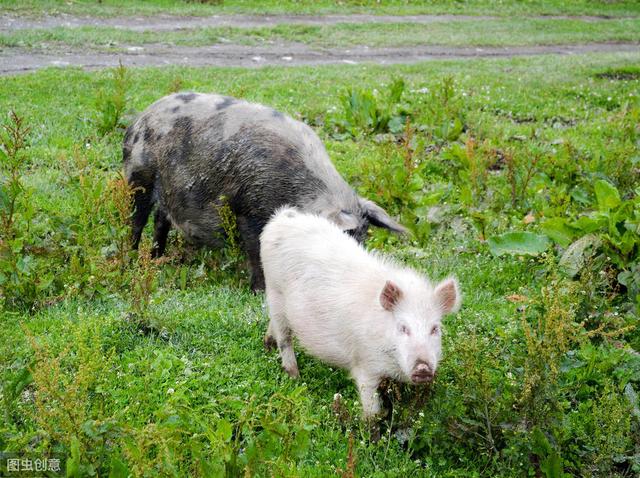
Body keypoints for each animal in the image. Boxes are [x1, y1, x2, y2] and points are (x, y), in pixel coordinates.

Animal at [124, 92, 404, 290]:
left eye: (363, 240)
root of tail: (138, 119)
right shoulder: (248, 210)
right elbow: (256, 251)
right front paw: (259, 291)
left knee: (161, 220)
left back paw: (157, 258)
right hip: (137, 177)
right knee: (136, 221)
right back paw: (130, 258)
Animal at [260, 208, 460, 418]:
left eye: (435, 328)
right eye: (403, 327)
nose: (422, 367)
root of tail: (283, 217)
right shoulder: (365, 365)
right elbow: (371, 408)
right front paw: (372, 425)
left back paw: (269, 346)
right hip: (274, 290)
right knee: (284, 337)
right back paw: (294, 376)